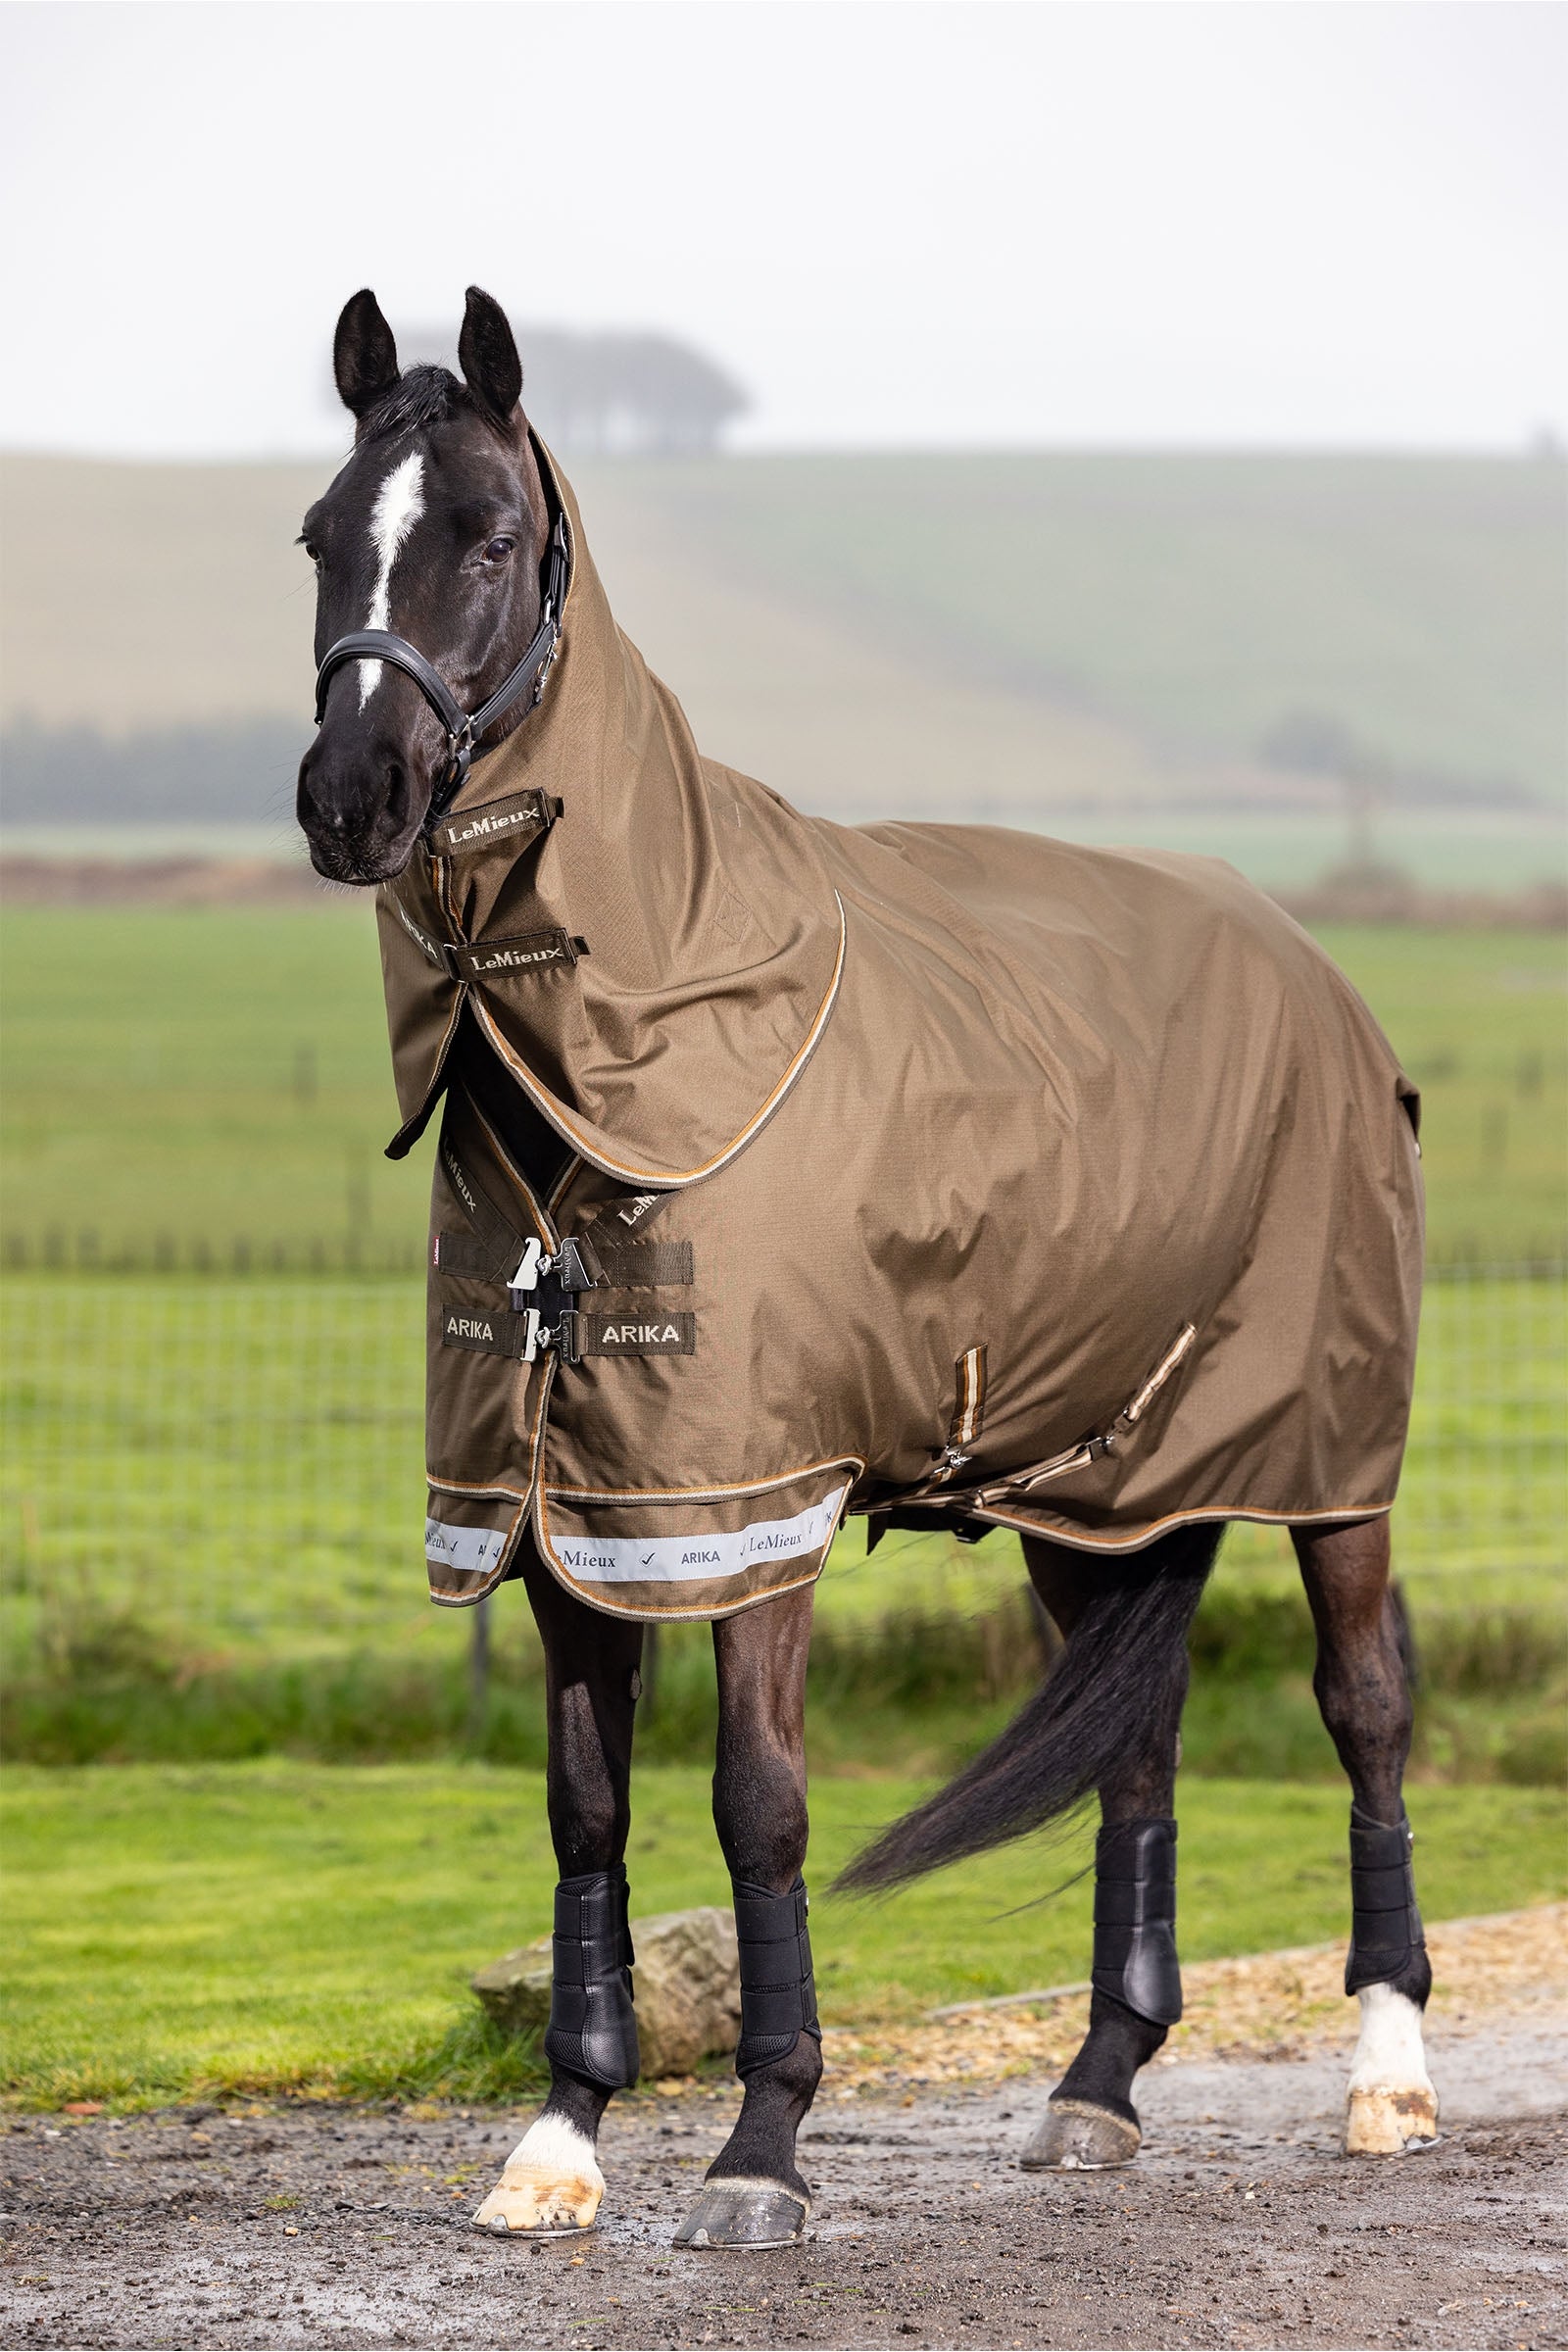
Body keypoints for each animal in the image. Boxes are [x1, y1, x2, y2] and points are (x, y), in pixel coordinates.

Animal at [296, 286, 1437, 2251]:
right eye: (317, 539)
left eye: (492, 539)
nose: (350, 795)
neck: (635, 1050)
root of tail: (1319, 974)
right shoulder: (557, 1512)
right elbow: (583, 1816)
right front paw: (560, 2140)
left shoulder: (752, 1505)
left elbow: (758, 1804)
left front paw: (761, 2145)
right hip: (1102, 1488)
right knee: (1140, 1741)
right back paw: (1097, 2086)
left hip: (1329, 1455)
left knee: (1362, 1708)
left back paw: (1388, 2073)